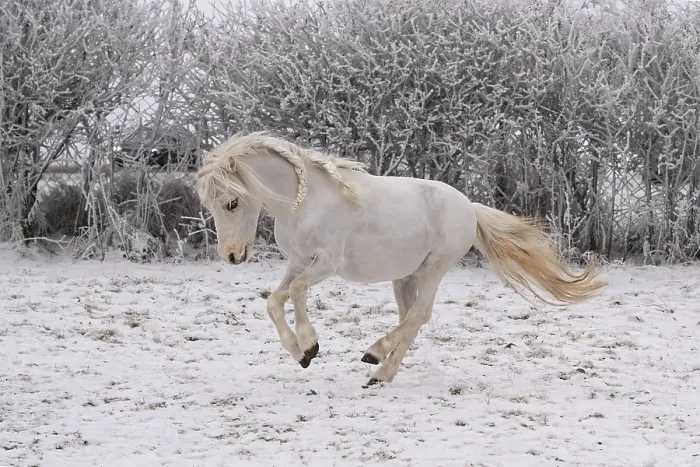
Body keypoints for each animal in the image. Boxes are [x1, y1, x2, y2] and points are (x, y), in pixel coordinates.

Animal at [195, 131, 606, 387]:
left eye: (231, 203)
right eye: (210, 205)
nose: (231, 256)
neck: (307, 204)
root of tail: (469, 209)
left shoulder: (325, 264)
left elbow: (295, 292)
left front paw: (310, 345)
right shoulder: (298, 261)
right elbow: (275, 301)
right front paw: (301, 354)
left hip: (435, 269)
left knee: (419, 316)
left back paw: (375, 360)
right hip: (405, 276)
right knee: (411, 320)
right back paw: (381, 368)